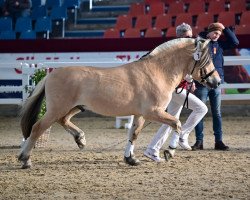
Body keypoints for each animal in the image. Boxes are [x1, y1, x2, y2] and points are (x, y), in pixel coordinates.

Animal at [19, 36, 221, 168]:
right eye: (206, 59)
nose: (217, 81)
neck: (156, 72)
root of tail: (51, 74)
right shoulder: (153, 112)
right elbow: (177, 124)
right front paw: (169, 152)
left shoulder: (139, 115)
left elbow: (134, 134)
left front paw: (131, 159)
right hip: (57, 109)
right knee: (37, 128)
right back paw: (25, 159)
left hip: (74, 107)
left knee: (63, 121)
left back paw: (80, 139)